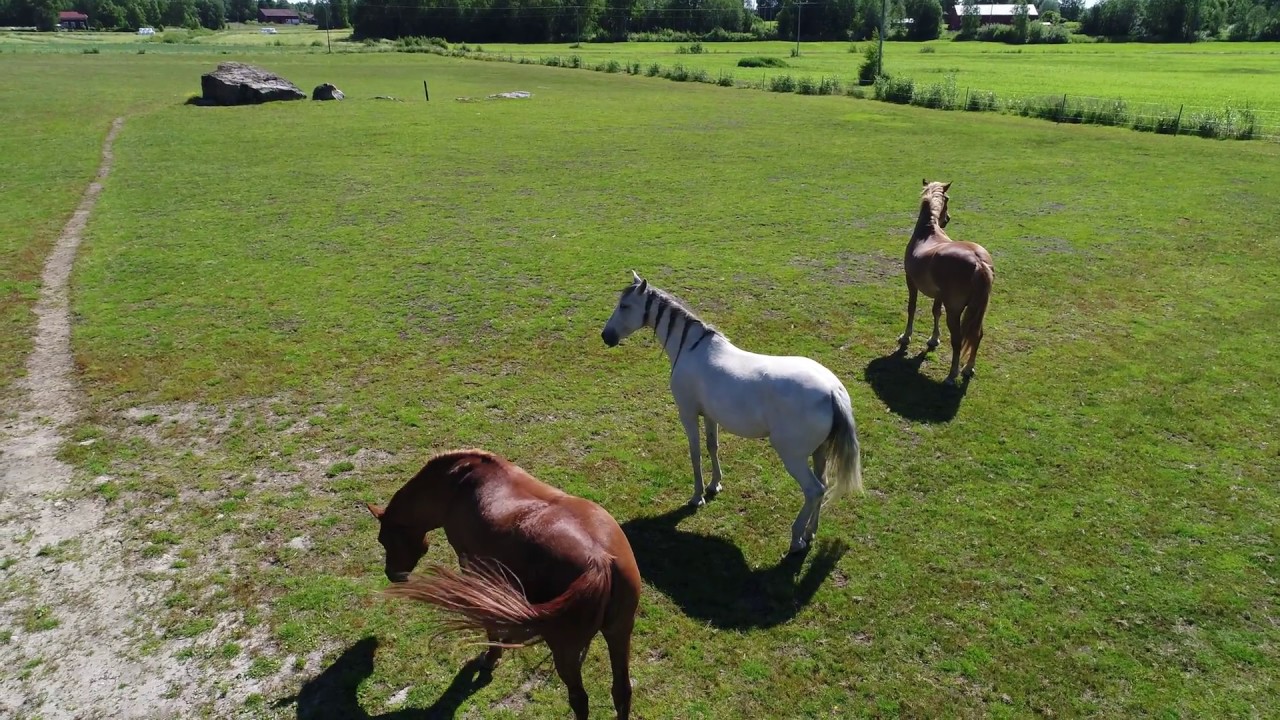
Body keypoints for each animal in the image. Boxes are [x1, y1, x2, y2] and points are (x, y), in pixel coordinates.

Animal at [366, 449, 642, 720]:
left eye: (384, 539)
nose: (392, 574)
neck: (458, 483)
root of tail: (600, 559)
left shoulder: (472, 567)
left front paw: (492, 657)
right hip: (619, 632)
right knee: (621, 692)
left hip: (566, 648)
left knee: (580, 699)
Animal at [601, 272, 863, 555]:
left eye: (625, 306)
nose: (606, 336)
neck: (691, 348)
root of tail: (832, 391)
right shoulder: (710, 416)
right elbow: (712, 447)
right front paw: (714, 485)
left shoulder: (688, 414)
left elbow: (695, 453)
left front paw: (697, 497)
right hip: (819, 452)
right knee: (823, 486)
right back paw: (811, 532)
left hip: (793, 456)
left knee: (814, 490)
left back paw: (796, 539)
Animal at [898, 180, 995, 385]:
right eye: (948, 198)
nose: (947, 219)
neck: (927, 232)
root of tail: (979, 263)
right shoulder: (939, 294)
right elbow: (936, 312)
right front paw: (934, 339)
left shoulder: (910, 281)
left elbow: (912, 308)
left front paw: (906, 336)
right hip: (976, 311)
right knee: (977, 335)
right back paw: (968, 368)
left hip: (955, 310)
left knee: (958, 341)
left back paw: (952, 375)